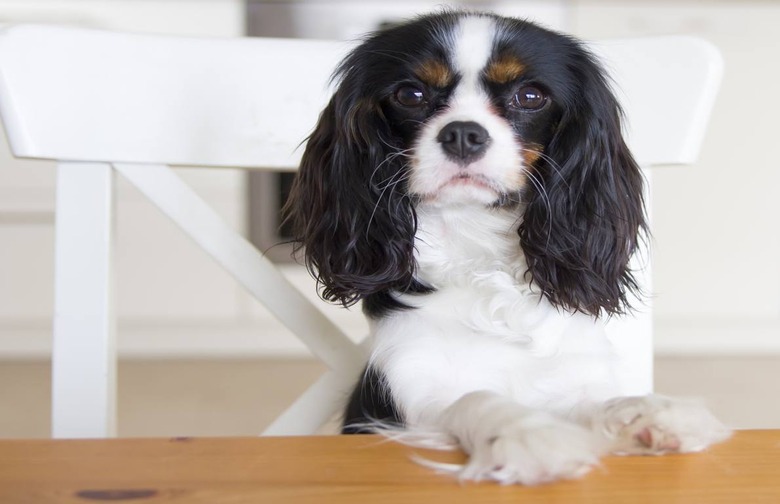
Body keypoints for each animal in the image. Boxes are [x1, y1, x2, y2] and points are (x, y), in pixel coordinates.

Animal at [282, 10, 732, 484]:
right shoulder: (407, 396)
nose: (463, 133)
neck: (477, 246)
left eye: (530, 96)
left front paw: (650, 412)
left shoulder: (568, 379)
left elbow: (594, 403)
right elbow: (475, 398)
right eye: (410, 94)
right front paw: (530, 433)